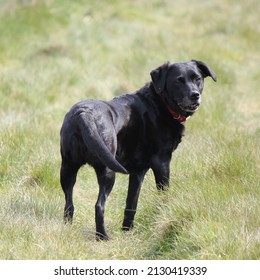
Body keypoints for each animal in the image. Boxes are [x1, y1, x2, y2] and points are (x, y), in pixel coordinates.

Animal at [60, 60, 216, 240]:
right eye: (178, 80)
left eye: (197, 78)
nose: (194, 94)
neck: (159, 102)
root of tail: (83, 114)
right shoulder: (162, 163)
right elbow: (163, 195)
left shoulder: (137, 172)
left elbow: (131, 203)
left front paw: (127, 230)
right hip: (107, 171)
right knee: (99, 205)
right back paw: (103, 237)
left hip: (68, 168)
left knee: (68, 203)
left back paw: (68, 230)